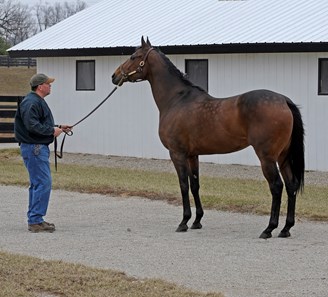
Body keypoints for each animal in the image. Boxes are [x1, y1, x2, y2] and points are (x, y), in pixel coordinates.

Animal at [113, 36, 304, 238]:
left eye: (134, 56)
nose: (114, 76)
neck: (177, 100)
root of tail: (284, 100)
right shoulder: (192, 155)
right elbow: (195, 185)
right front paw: (197, 221)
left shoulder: (177, 154)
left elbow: (183, 185)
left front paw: (183, 222)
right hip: (283, 156)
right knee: (291, 185)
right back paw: (286, 228)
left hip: (267, 157)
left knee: (276, 186)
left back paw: (269, 229)